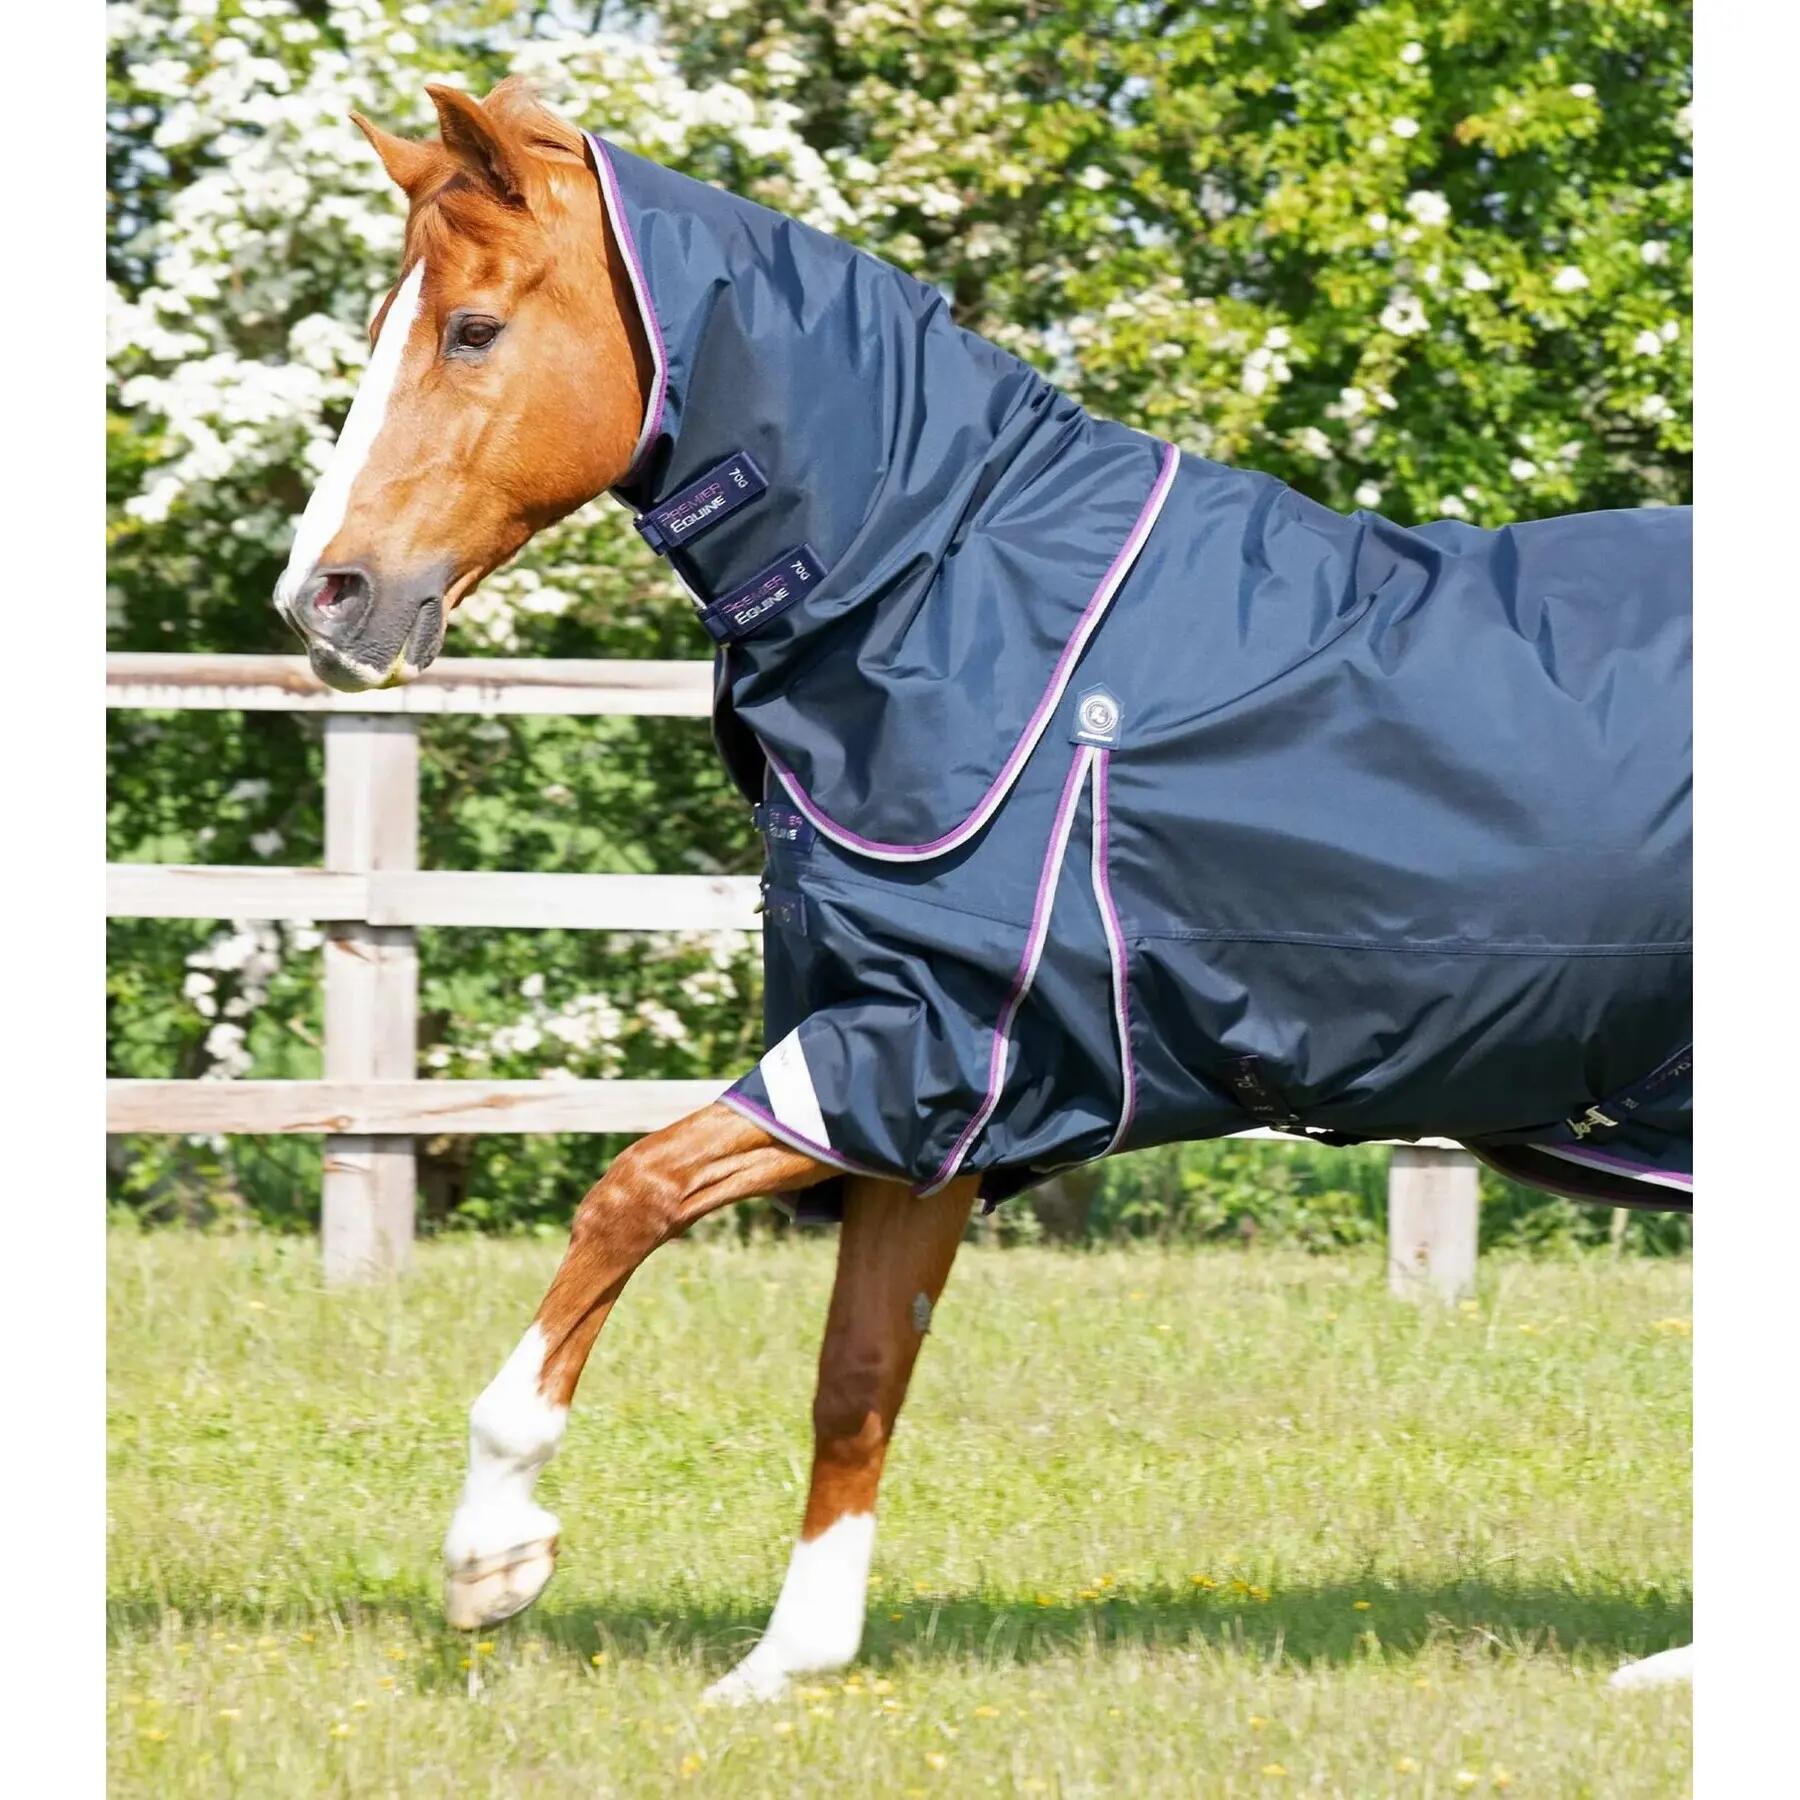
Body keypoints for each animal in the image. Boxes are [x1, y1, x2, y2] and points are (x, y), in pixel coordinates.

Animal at [272, 79, 1692, 1698]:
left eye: (472, 329)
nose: (324, 597)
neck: (945, 589)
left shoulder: (917, 1047)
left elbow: (630, 1196)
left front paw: (493, 1553)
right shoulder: (937, 1093)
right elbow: (856, 1372)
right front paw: (787, 1664)